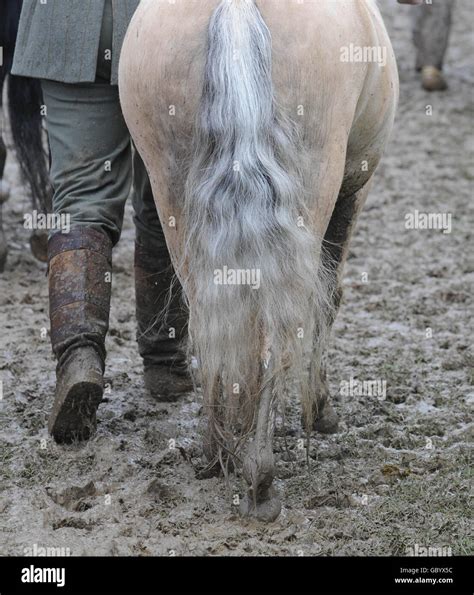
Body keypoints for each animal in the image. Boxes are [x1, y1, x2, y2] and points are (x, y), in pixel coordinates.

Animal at [117, 0, 396, 520]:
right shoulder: (356, 184)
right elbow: (330, 299)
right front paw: (322, 411)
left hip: (173, 192)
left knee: (209, 318)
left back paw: (216, 452)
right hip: (314, 184)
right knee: (280, 328)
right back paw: (261, 477)